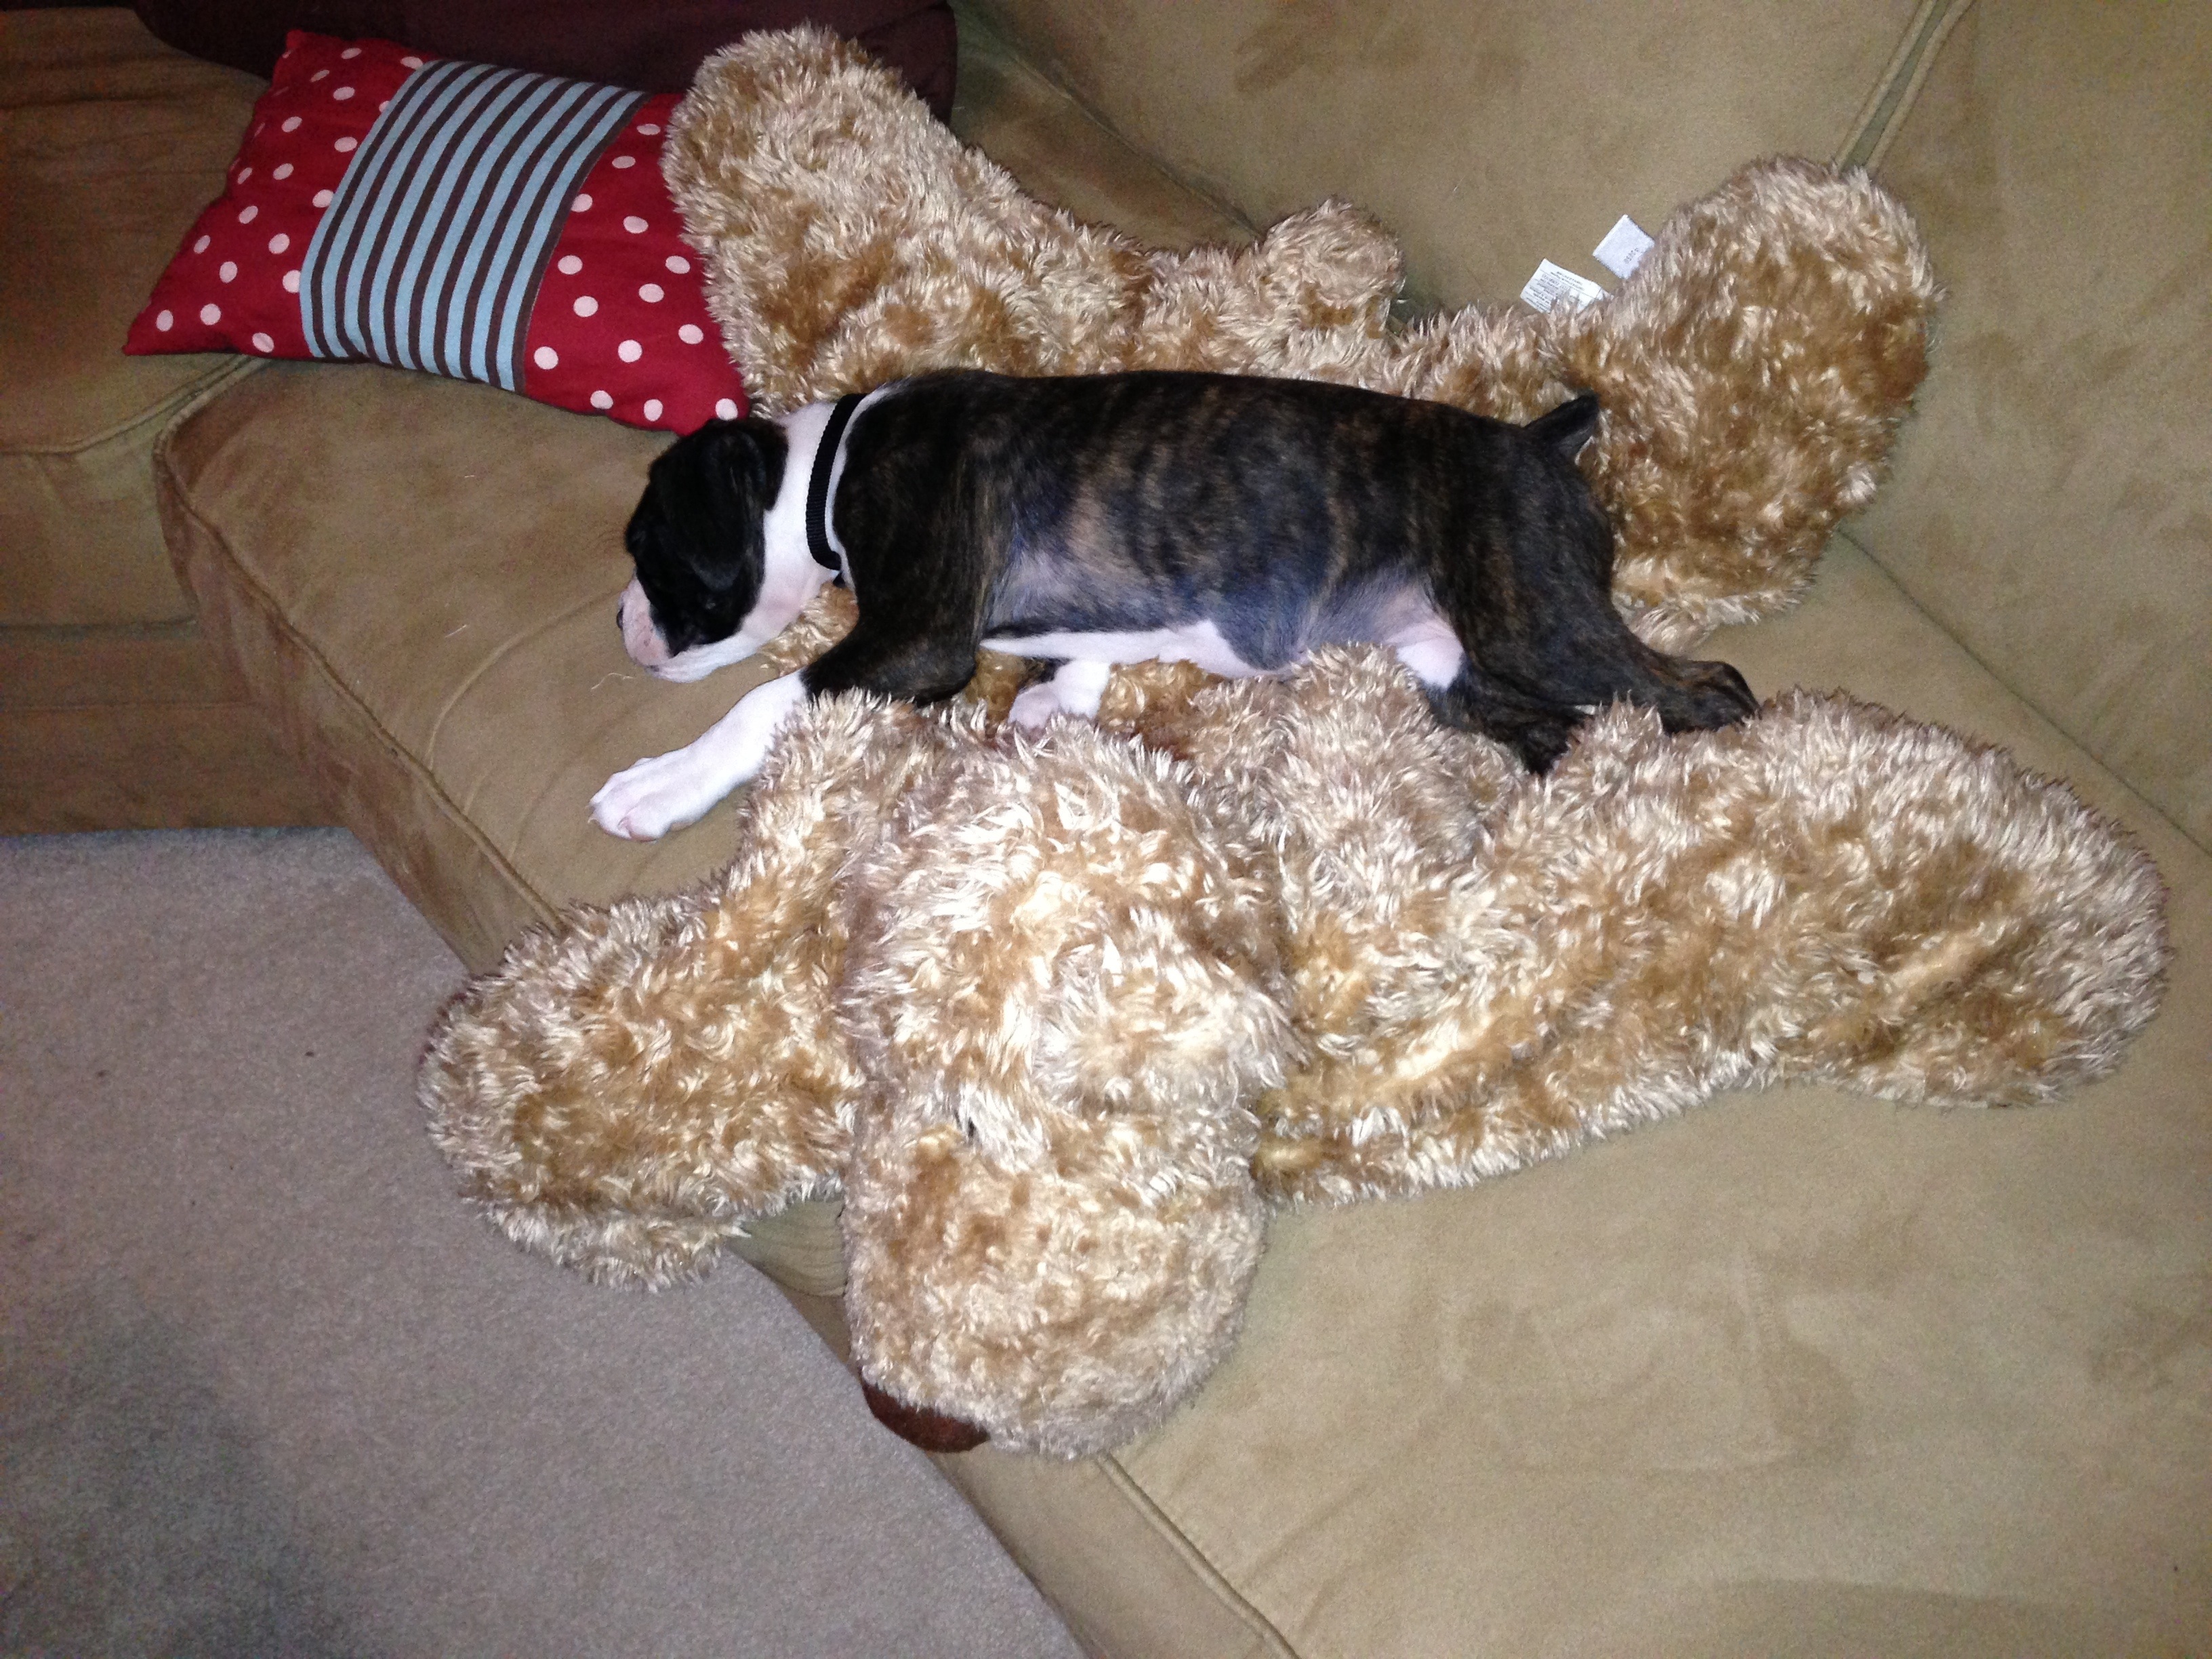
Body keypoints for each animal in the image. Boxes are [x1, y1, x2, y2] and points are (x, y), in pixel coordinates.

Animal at [592, 368, 1756, 840]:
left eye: (645, 547)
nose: (617, 621)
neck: (826, 471)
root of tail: (1539, 441)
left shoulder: (917, 640)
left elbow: (763, 704)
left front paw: (660, 783)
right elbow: (1086, 649)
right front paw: (1055, 703)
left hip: (1537, 622)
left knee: (1709, 691)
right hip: (1457, 669)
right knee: (1561, 728)